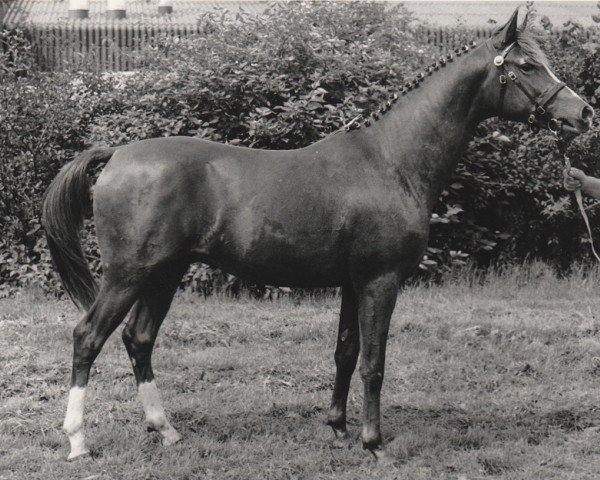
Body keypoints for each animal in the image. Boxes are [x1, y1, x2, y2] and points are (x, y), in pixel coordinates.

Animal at [43, 10, 596, 462]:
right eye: (526, 66)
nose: (584, 113)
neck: (390, 160)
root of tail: (116, 154)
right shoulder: (380, 281)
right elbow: (374, 361)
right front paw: (374, 443)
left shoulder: (353, 283)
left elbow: (346, 353)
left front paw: (338, 428)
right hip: (128, 275)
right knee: (87, 337)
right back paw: (78, 441)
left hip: (163, 273)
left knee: (139, 340)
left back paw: (167, 431)